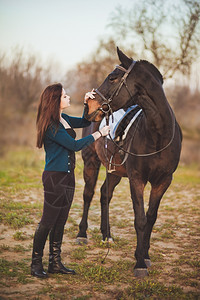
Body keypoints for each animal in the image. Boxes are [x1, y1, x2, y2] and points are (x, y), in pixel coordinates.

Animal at [77, 47, 183, 276]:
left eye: (112, 78)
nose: (89, 105)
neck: (158, 133)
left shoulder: (163, 181)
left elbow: (151, 218)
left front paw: (145, 255)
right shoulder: (137, 179)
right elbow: (140, 219)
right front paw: (140, 263)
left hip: (115, 171)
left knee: (105, 194)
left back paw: (106, 235)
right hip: (91, 163)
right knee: (88, 194)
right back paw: (82, 234)